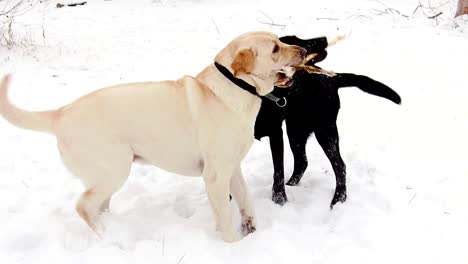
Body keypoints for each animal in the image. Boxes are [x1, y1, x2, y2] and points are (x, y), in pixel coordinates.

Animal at [0, 31, 308, 241]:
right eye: (275, 49)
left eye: (280, 42)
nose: (304, 49)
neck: (236, 87)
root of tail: (60, 113)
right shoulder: (216, 175)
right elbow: (224, 213)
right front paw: (232, 244)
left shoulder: (232, 168)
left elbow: (246, 200)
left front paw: (250, 228)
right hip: (114, 170)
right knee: (83, 206)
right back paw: (106, 235)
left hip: (107, 177)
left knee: (97, 205)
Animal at [254, 35, 400, 208]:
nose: (323, 38)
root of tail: (332, 77)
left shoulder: (276, 133)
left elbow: (278, 173)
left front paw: (279, 201)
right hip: (297, 129)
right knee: (302, 162)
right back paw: (292, 185)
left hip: (321, 131)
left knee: (339, 166)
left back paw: (338, 199)